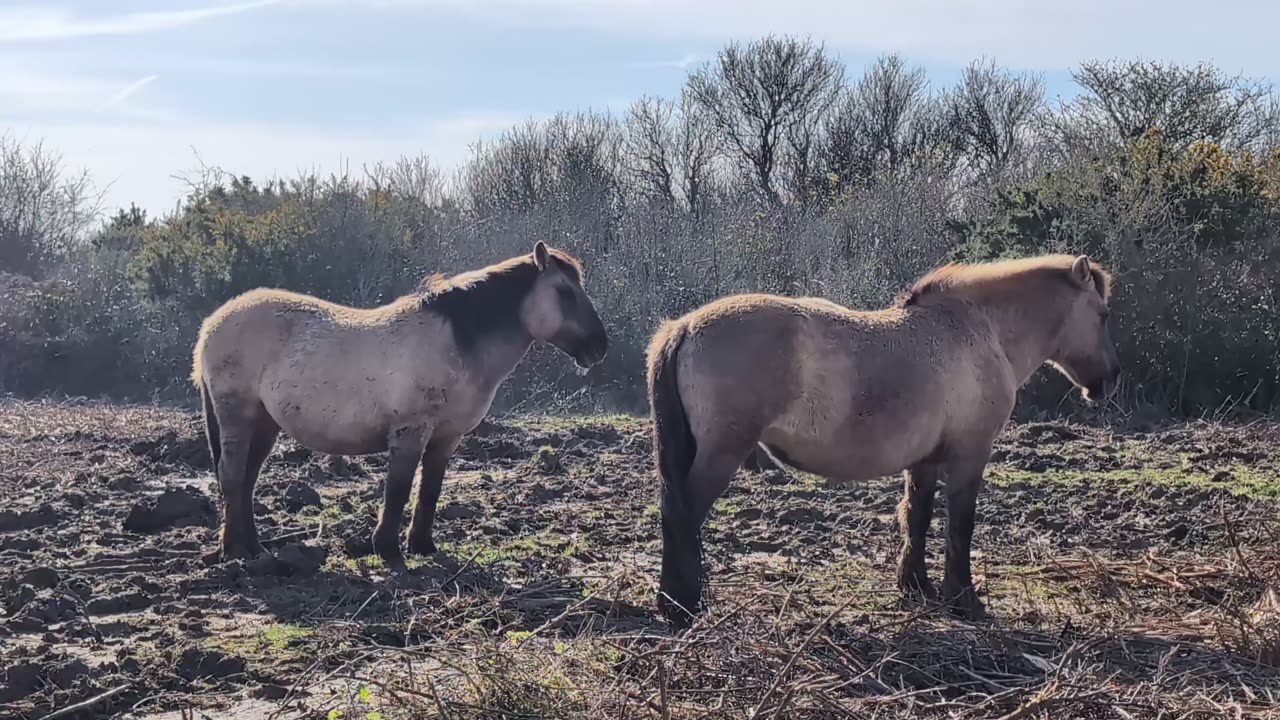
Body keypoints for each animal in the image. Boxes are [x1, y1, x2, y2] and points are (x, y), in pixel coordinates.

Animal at [650, 252, 1121, 622]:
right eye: (1103, 316)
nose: (1109, 381)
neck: (977, 329)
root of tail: (685, 326)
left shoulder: (926, 460)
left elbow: (917, 517)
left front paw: (916, 588)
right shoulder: (969, 456)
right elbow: (960, 526)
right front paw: (964, 600)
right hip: (721, 454)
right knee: (683, 516)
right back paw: (682, 605)